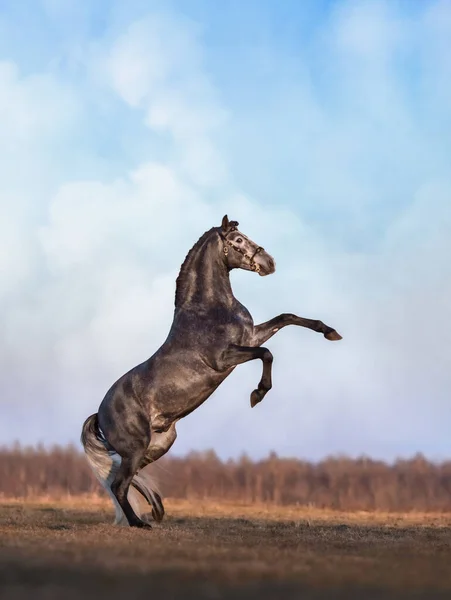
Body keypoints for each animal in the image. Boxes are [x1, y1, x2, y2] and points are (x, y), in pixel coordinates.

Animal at [81, 217, 342, 528]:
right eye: (238, 240)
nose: (269, 262)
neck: (209, 309)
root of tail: (100, 413)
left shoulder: (251, 336)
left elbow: (286, 318)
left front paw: (330, 332)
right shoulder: (225, 357)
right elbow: (266, 354)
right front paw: (258, 394)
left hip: (157, 445)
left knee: (122, 477)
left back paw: (155, 509)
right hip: (137, 446)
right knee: (119, 483)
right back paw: (139, 522)